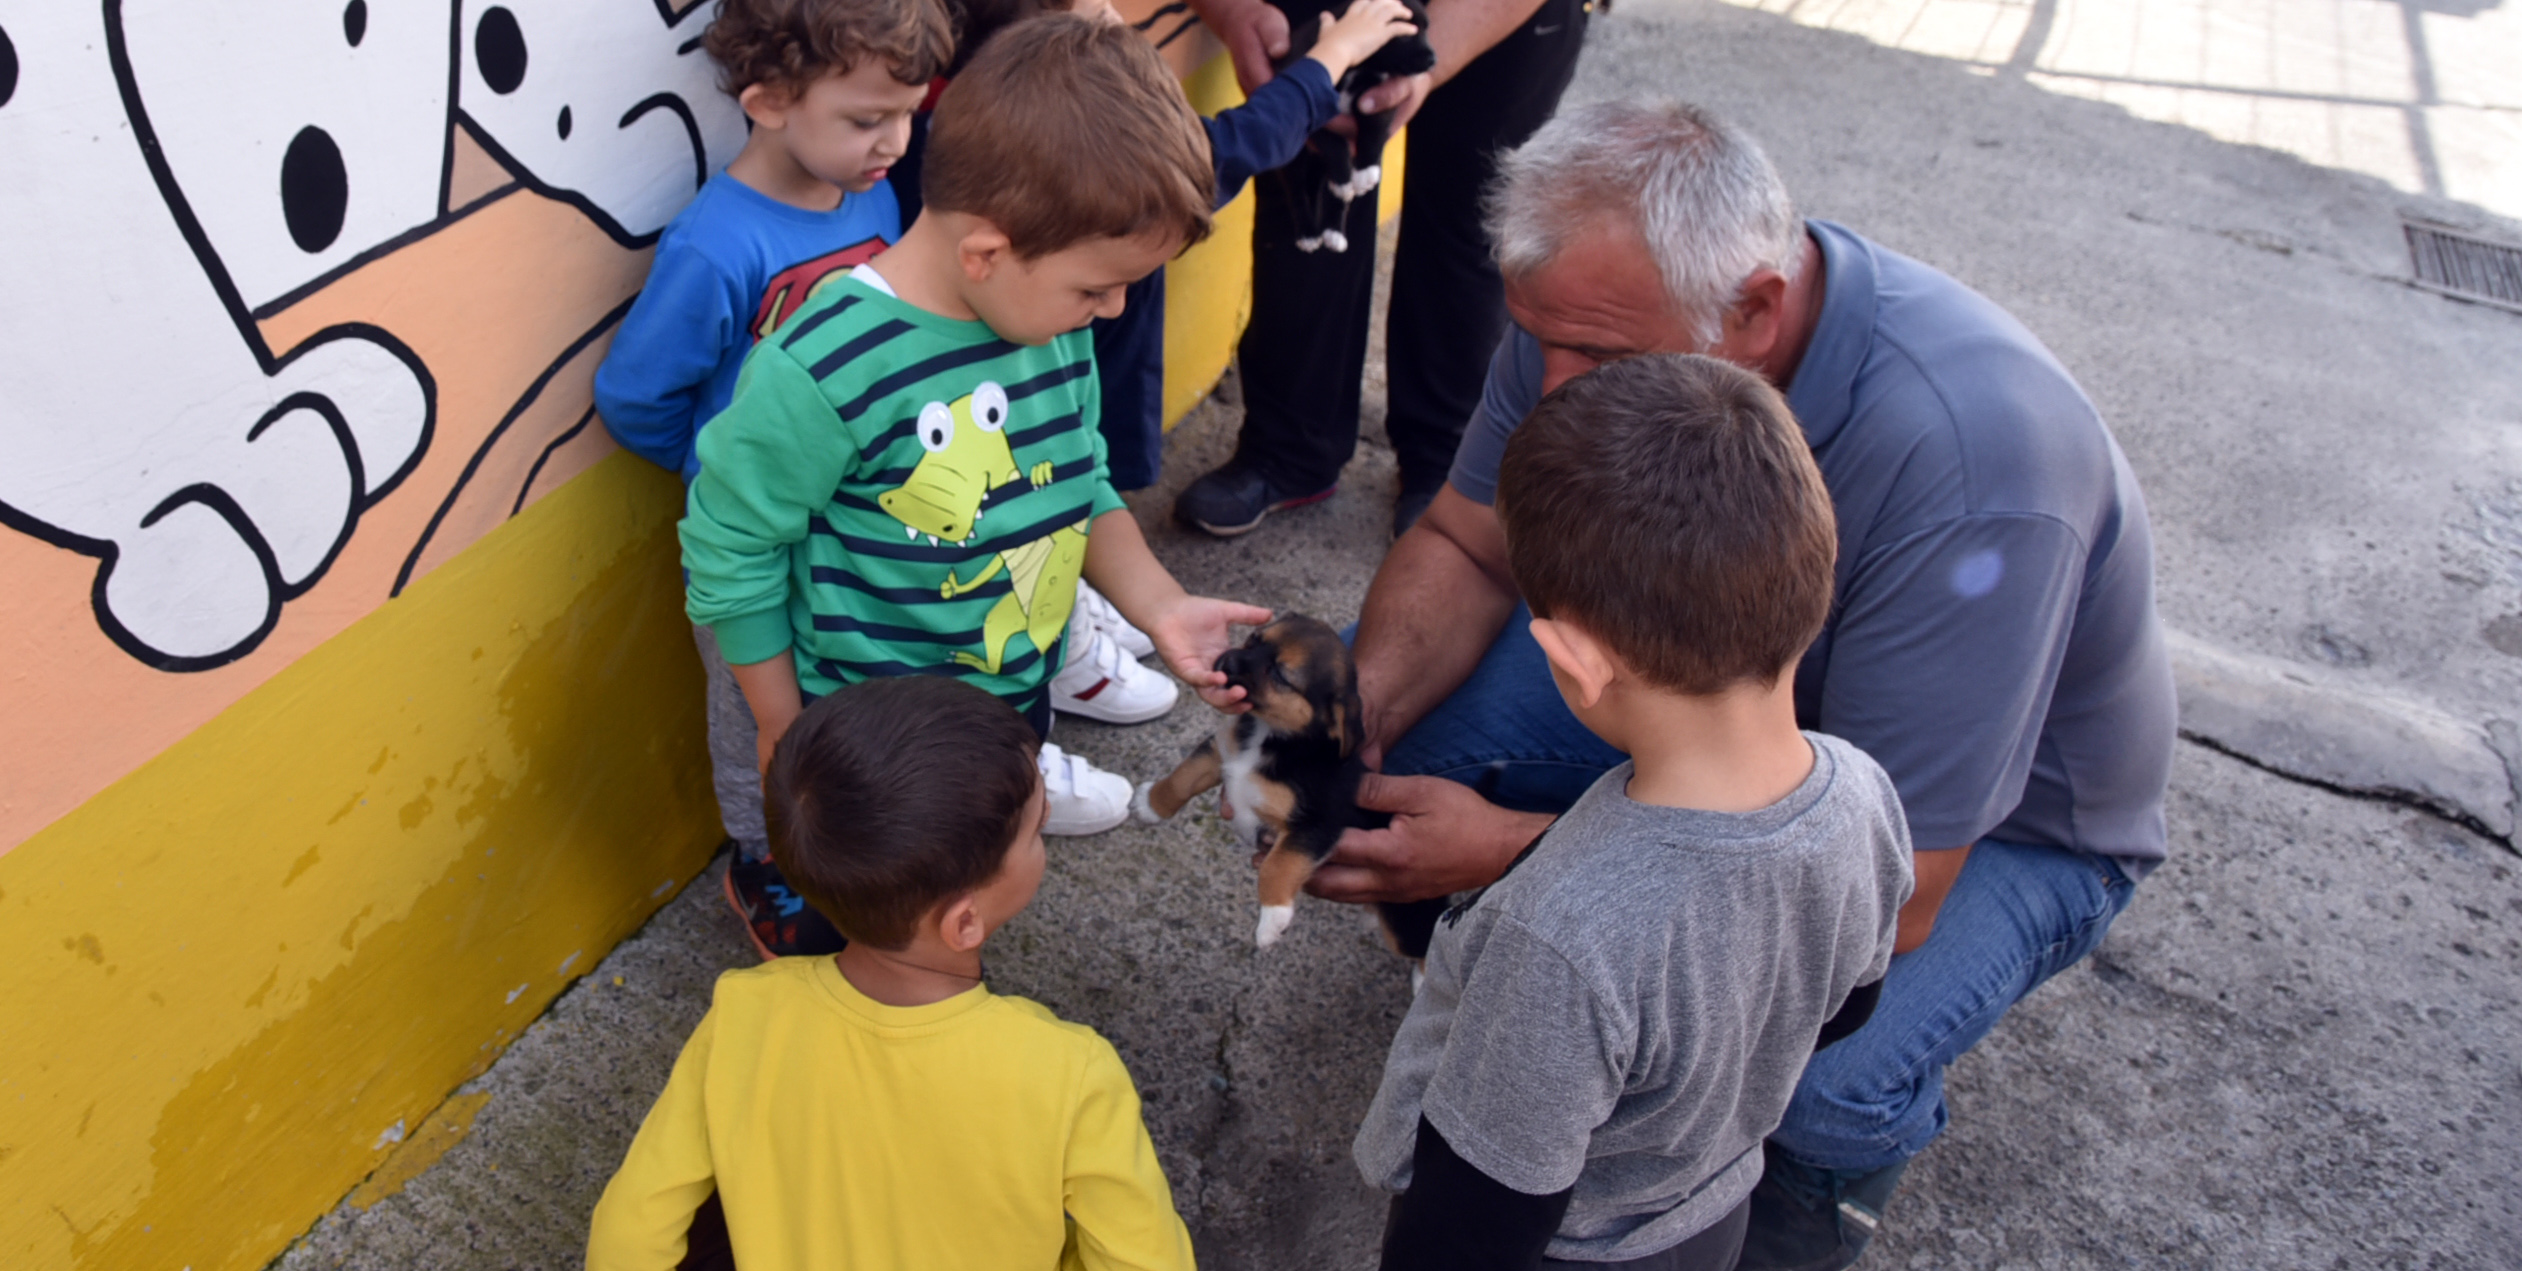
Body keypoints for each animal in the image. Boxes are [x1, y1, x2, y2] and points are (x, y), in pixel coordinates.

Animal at [1124, 615, 1442, 953]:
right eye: (1254, 638)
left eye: (1278, 674)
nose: (1225, 661)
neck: (1271, 737)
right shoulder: (1220, 752)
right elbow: (1181, 779)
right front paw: (1150, 804)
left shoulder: (1315, 823)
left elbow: (1277, 865)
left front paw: (1272, 921)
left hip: (1406, 919)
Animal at [1271, 0, 1432, 254]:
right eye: (1405, 36)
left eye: (1427, 29)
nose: (1433, 59)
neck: (1359, 65)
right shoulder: (1311, 103)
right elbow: (1335, 145)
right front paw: (1347, 175)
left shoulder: (1378, 96)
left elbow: (1373, 132)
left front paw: (1366, 170)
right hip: (1294, 159)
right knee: (1297, 193)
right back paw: (1309, 232)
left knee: (1331, 194)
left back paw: (1334, 231)